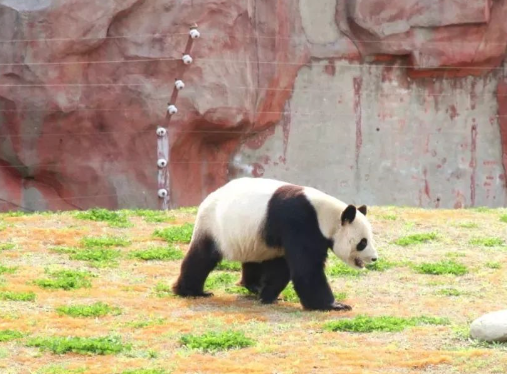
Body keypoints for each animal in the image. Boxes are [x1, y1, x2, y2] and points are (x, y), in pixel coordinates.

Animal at [173, 177, 380, 312]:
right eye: (362, 242)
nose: (374, 258)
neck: (325, 215)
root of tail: (208, 197)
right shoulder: (301, 223)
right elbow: (306, 269)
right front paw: (333, 305)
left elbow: (282, 266)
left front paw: (267, 295)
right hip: (215, 226)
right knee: (202, 258)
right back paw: (190, 291)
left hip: (252, 236)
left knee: (253, 260)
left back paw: (254, 286)